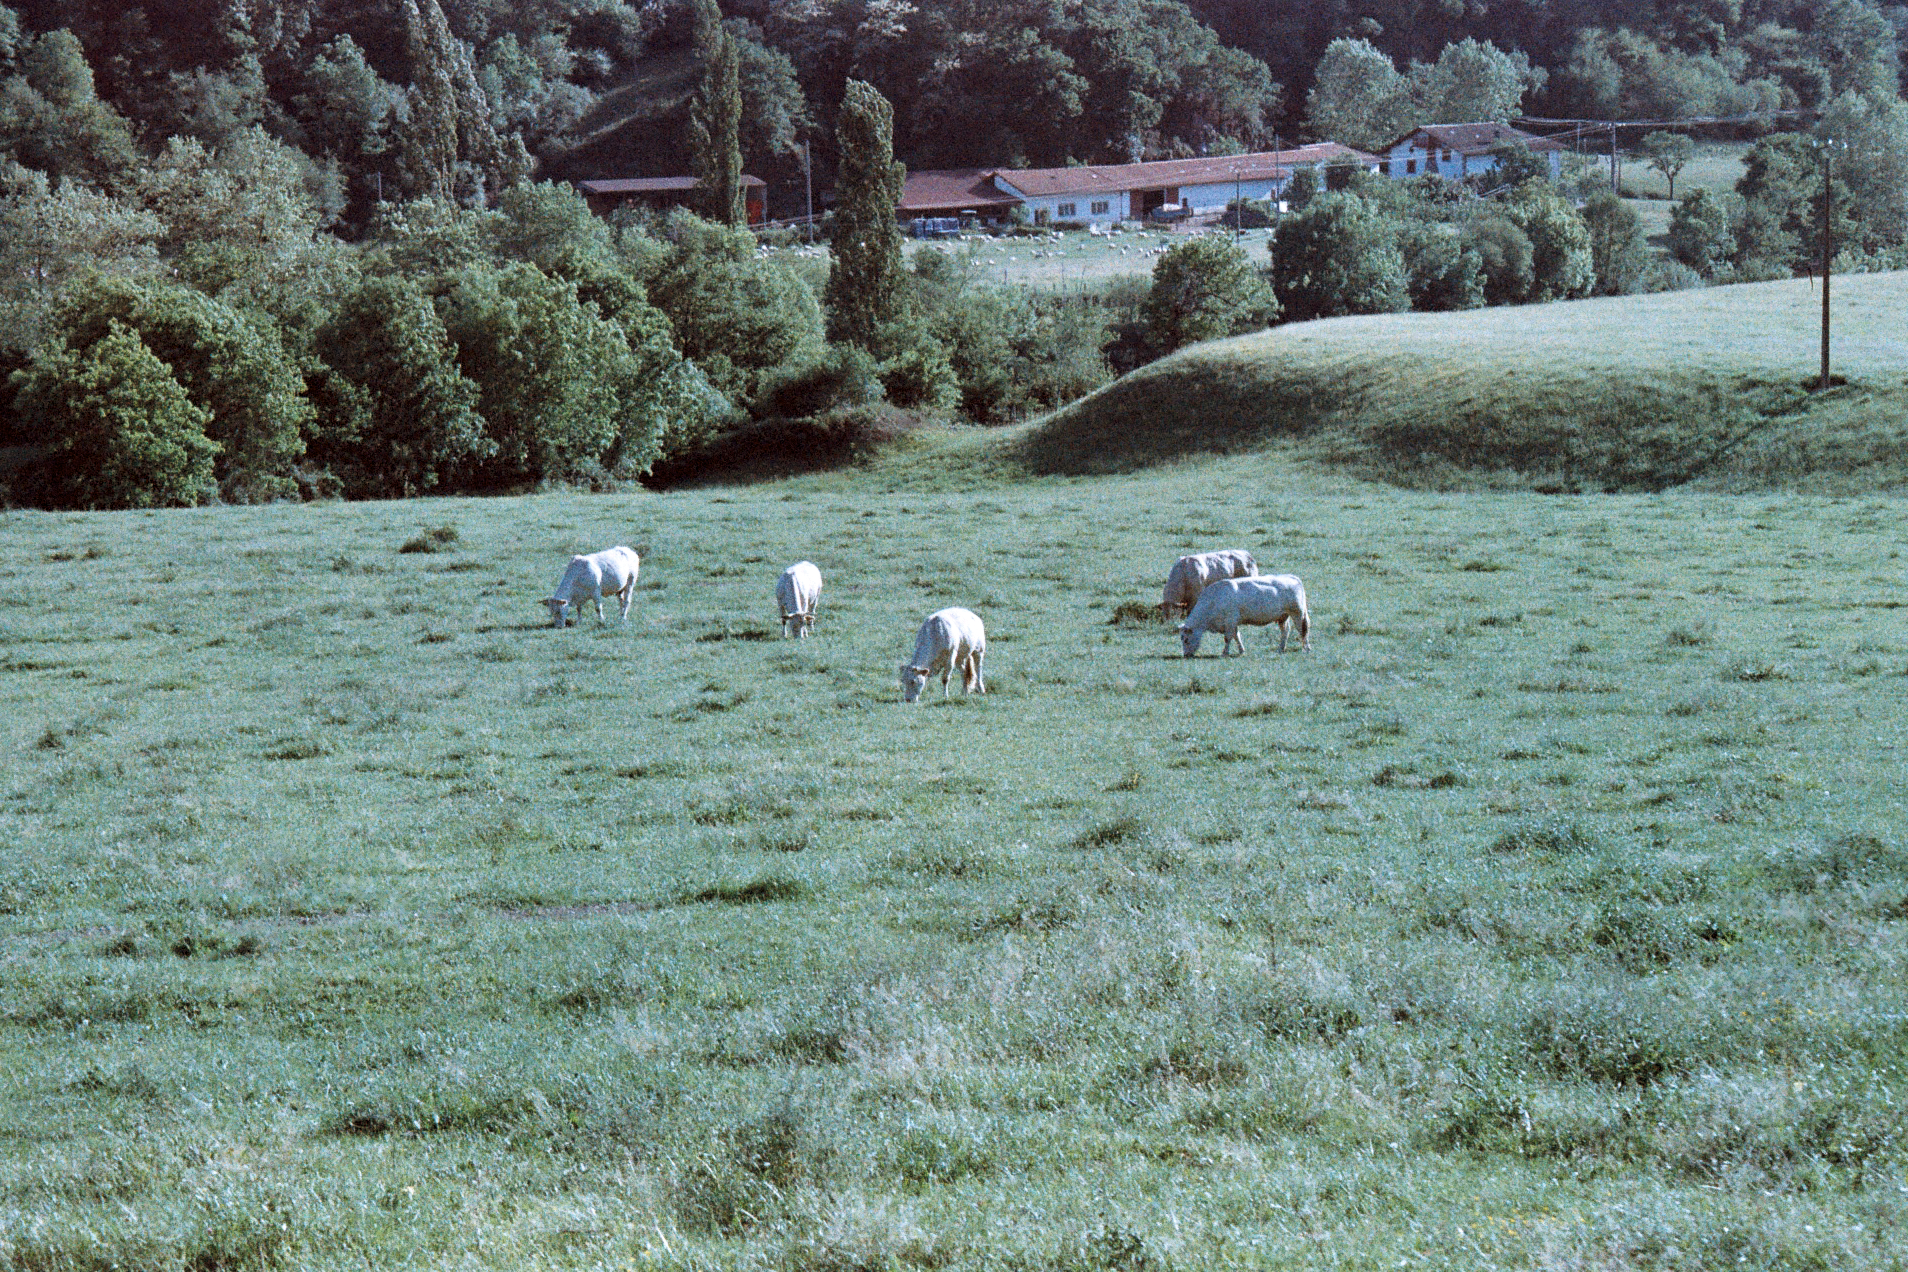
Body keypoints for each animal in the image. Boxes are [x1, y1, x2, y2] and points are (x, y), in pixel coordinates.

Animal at [1177, 575, 1310, 657]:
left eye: (1186, 639)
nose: (1186, 655)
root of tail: (1291, 577)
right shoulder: (1232, 623)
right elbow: (1237, 636)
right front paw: (1241, 651)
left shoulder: (1230, 621)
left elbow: (1228, 638)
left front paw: (1225, 653)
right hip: (1283, 616)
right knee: (1286, 631)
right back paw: (1281, 648)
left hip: (1298, 613)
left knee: (1302, 630)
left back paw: (1306, 648)